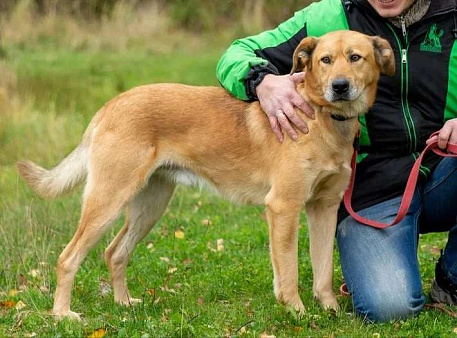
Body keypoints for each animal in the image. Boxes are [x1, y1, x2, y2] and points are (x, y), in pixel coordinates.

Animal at [17, 29, 394, 320]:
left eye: (355, 57)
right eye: (325, 60)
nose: (340, 87)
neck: (325, 118)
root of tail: (110, 106)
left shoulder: (323, 208)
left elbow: (323, 271)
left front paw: (329, 309)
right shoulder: (284, 207)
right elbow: (288, 272)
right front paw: (296, 313)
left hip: (150, 205)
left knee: (115, 252)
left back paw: (123, 304)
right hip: (108, 200)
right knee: (68, 257)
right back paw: (63, 314)